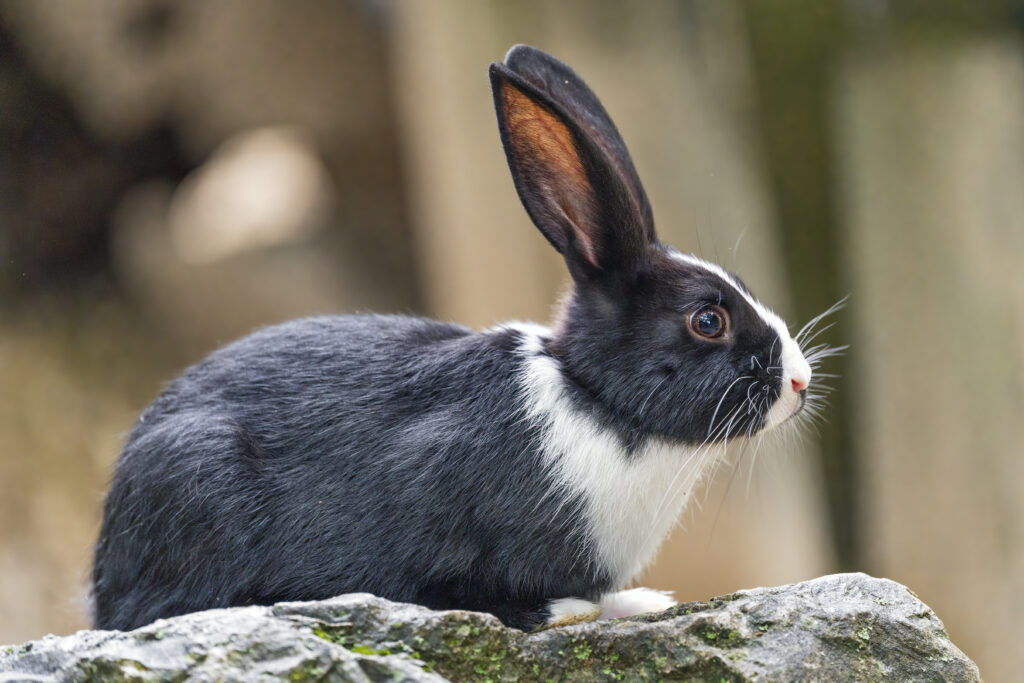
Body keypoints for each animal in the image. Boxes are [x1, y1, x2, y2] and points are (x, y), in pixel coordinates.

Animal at [91, 44, 818, 633]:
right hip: (194, 474)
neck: (594, 402)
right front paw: (587, 606)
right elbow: (472, 591)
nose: (800, 382)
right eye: (707, 320)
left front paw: (639, 600)